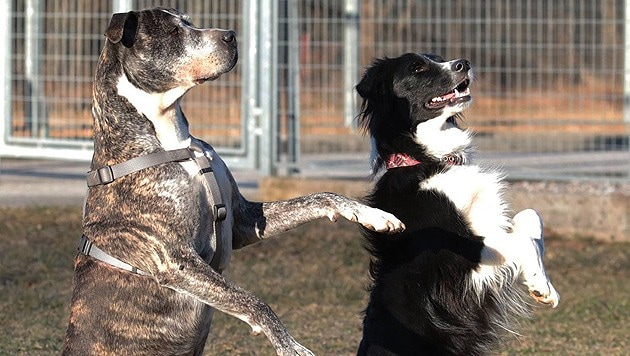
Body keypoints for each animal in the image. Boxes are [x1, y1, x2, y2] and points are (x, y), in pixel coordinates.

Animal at [358, 53, 560, 356]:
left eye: (438, 58)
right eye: (417, 68)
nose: (463, 63)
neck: (430, 160)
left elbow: (530, 218)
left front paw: (542, 279)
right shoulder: (457, 259)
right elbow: (519, 239)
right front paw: (540, 286)